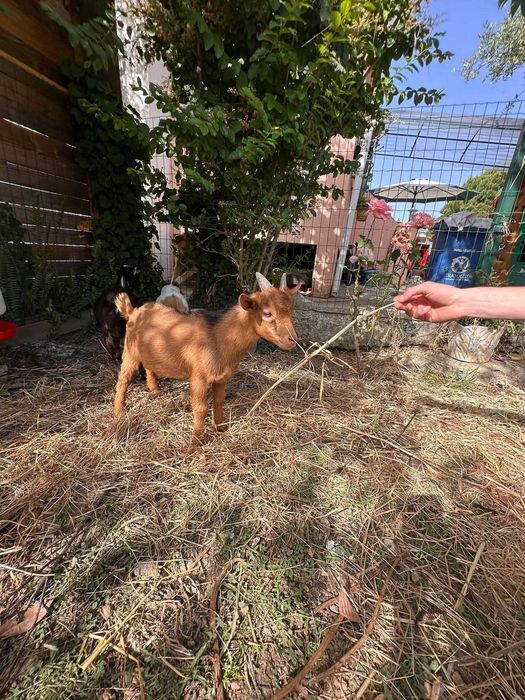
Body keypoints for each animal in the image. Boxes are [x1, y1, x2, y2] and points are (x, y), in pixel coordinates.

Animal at [113, 272, 301, 443]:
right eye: (267, 313)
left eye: (291, 311)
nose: (292, 340)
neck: (219, 338)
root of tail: (133, 312)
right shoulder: (199, 377)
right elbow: (200, 408)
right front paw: (197, 440)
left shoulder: (222, 378)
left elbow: (219, 401)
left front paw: (221, 428)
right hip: (129, 352)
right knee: (123, 379)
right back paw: (119, 411)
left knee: (149, 366)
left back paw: (155, 391)